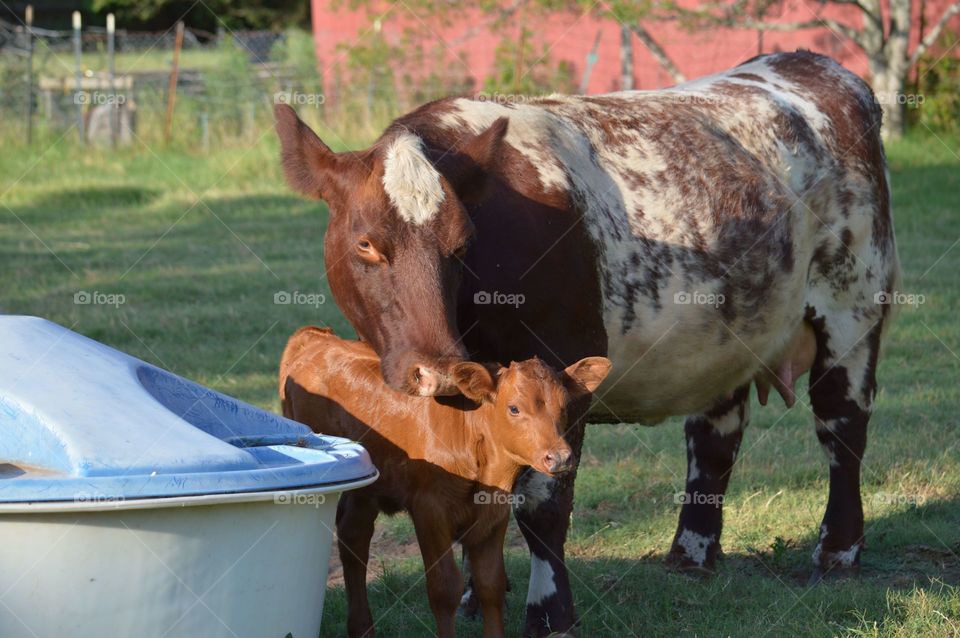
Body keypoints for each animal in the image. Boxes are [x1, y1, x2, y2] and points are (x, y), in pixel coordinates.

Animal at [278, 328, 612, 636]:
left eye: (564, 407)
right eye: (514, 408)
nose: (559, 457)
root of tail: (315, 336)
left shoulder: (495, 514)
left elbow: (491, 585)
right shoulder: (430, 511)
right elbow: (444, 589)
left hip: (366, 491)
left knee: (354, 538)